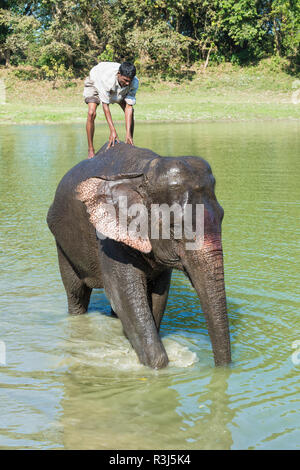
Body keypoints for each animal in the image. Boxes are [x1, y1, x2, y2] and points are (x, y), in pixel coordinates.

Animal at [47, 141, 231, 370]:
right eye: (174, 227)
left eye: (222, 216)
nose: (223, 370)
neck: (143, 174)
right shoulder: (109, 238)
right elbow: (124, 296)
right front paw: (158, 367)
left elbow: (158, 296)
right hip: (62, 243)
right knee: (76, 293)